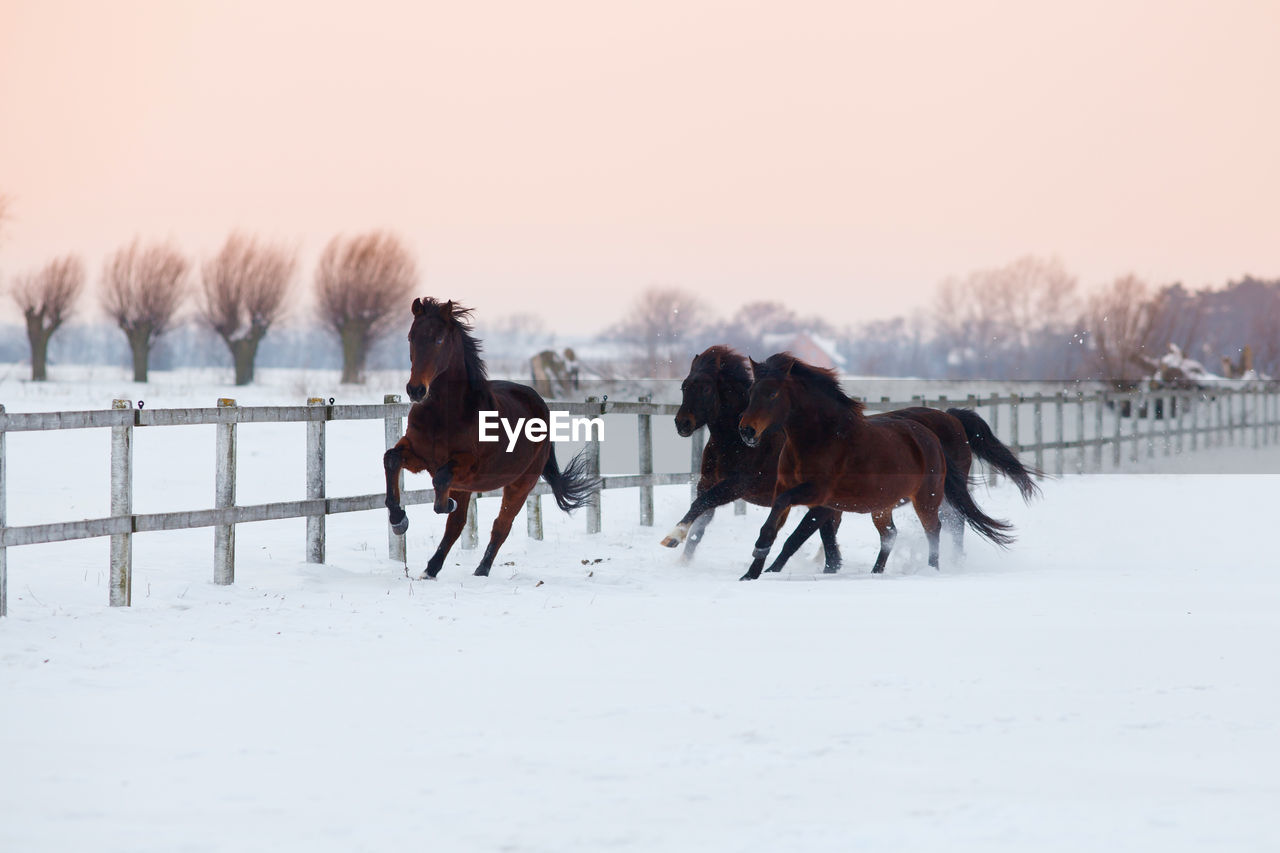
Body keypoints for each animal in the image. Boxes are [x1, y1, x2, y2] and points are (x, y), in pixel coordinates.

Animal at [381, 294, 596, 578]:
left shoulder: (467, 466)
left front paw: (444, 504)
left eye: (439, 339)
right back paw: (431, 570)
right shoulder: (417, 455)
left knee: (500, 526)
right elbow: (391, 459)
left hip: (520, 484)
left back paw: (480, 570)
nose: (416, 390)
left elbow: (441, 481)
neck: (443, 415)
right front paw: (399, 520)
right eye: (411, 337)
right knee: (457, 525)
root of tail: (540, 404)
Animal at [737, 350, 1013, 578]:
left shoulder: (819, 496)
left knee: (937, 528)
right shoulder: (788, 490)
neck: (822, 438)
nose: (746, 431)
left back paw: (931, 570)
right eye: (750, 393)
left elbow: (795, 536)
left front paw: (763, 564)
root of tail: (929, 435)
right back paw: (876, 572)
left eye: (773, 393)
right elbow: (776, 524)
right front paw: (753, 572)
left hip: (927, 497)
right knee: (890, 534)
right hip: (882, 505)